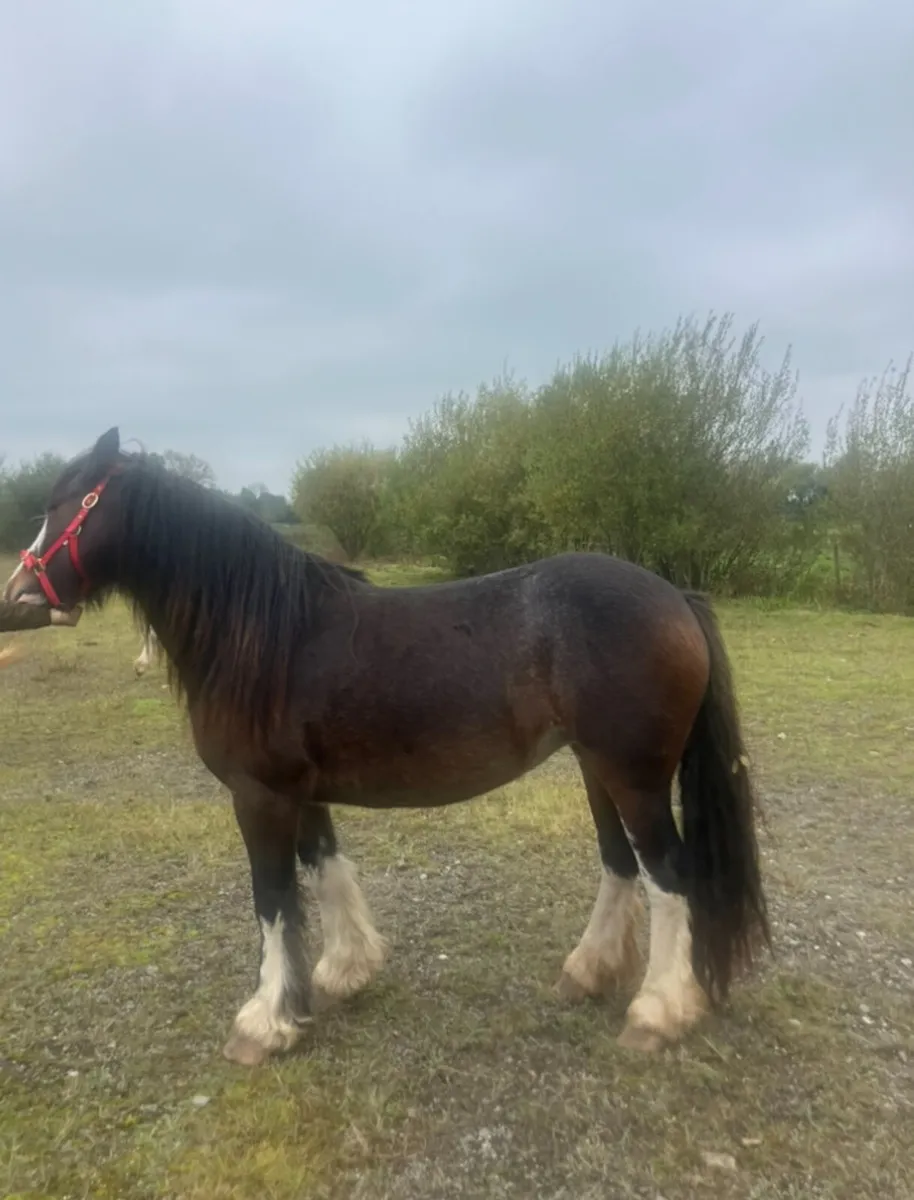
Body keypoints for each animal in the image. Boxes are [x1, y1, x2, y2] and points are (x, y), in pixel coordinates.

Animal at [3, 427, 770, 1067]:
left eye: (64, 504)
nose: (18, 594)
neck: (267, 638)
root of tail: (674, 596)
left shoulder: (259, 797)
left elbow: (273, 901)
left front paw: (266, 1022)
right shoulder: (299, 794)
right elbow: (325, 870)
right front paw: (345, 971)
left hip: (634, 777)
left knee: (669, 877)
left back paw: (657, 1011)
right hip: (596, 769)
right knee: (620, 865)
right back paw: (587, 972)